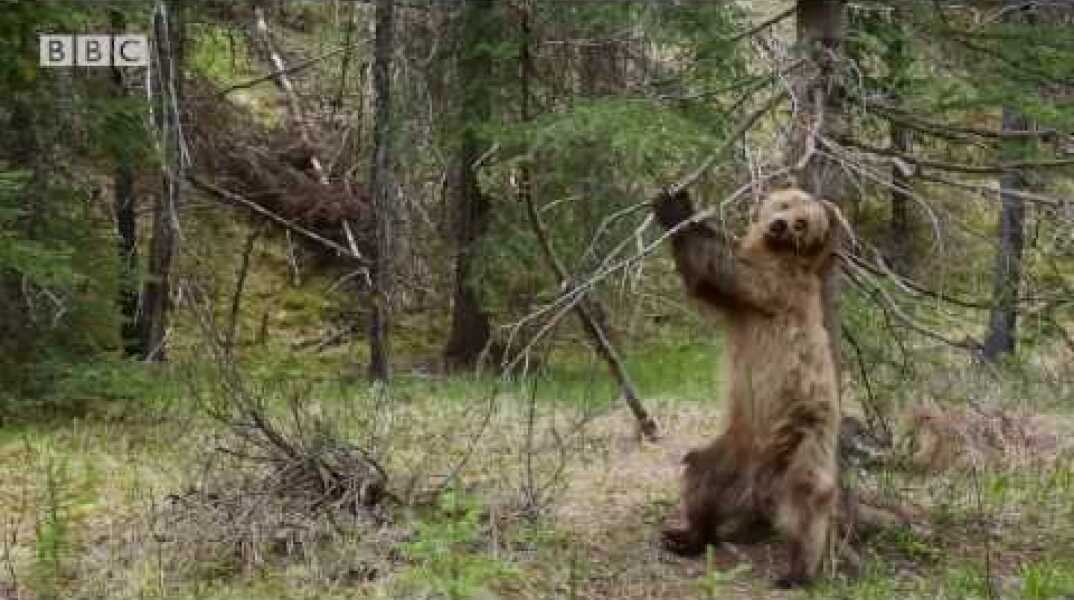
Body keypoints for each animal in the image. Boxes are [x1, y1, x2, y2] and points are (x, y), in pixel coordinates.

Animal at [653, 187, 846, 588]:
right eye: (785, 204)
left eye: (802, 222)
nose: (779, 225)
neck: (776, 252)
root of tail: (760, 480)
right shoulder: (739, 307)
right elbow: (704, 284)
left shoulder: (774, 286)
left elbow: (725, 269)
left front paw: (677, 208)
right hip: (733, 448)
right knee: (701, 475)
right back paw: (687, 535)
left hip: (807, 438)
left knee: (807, 503)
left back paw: (796, 571)